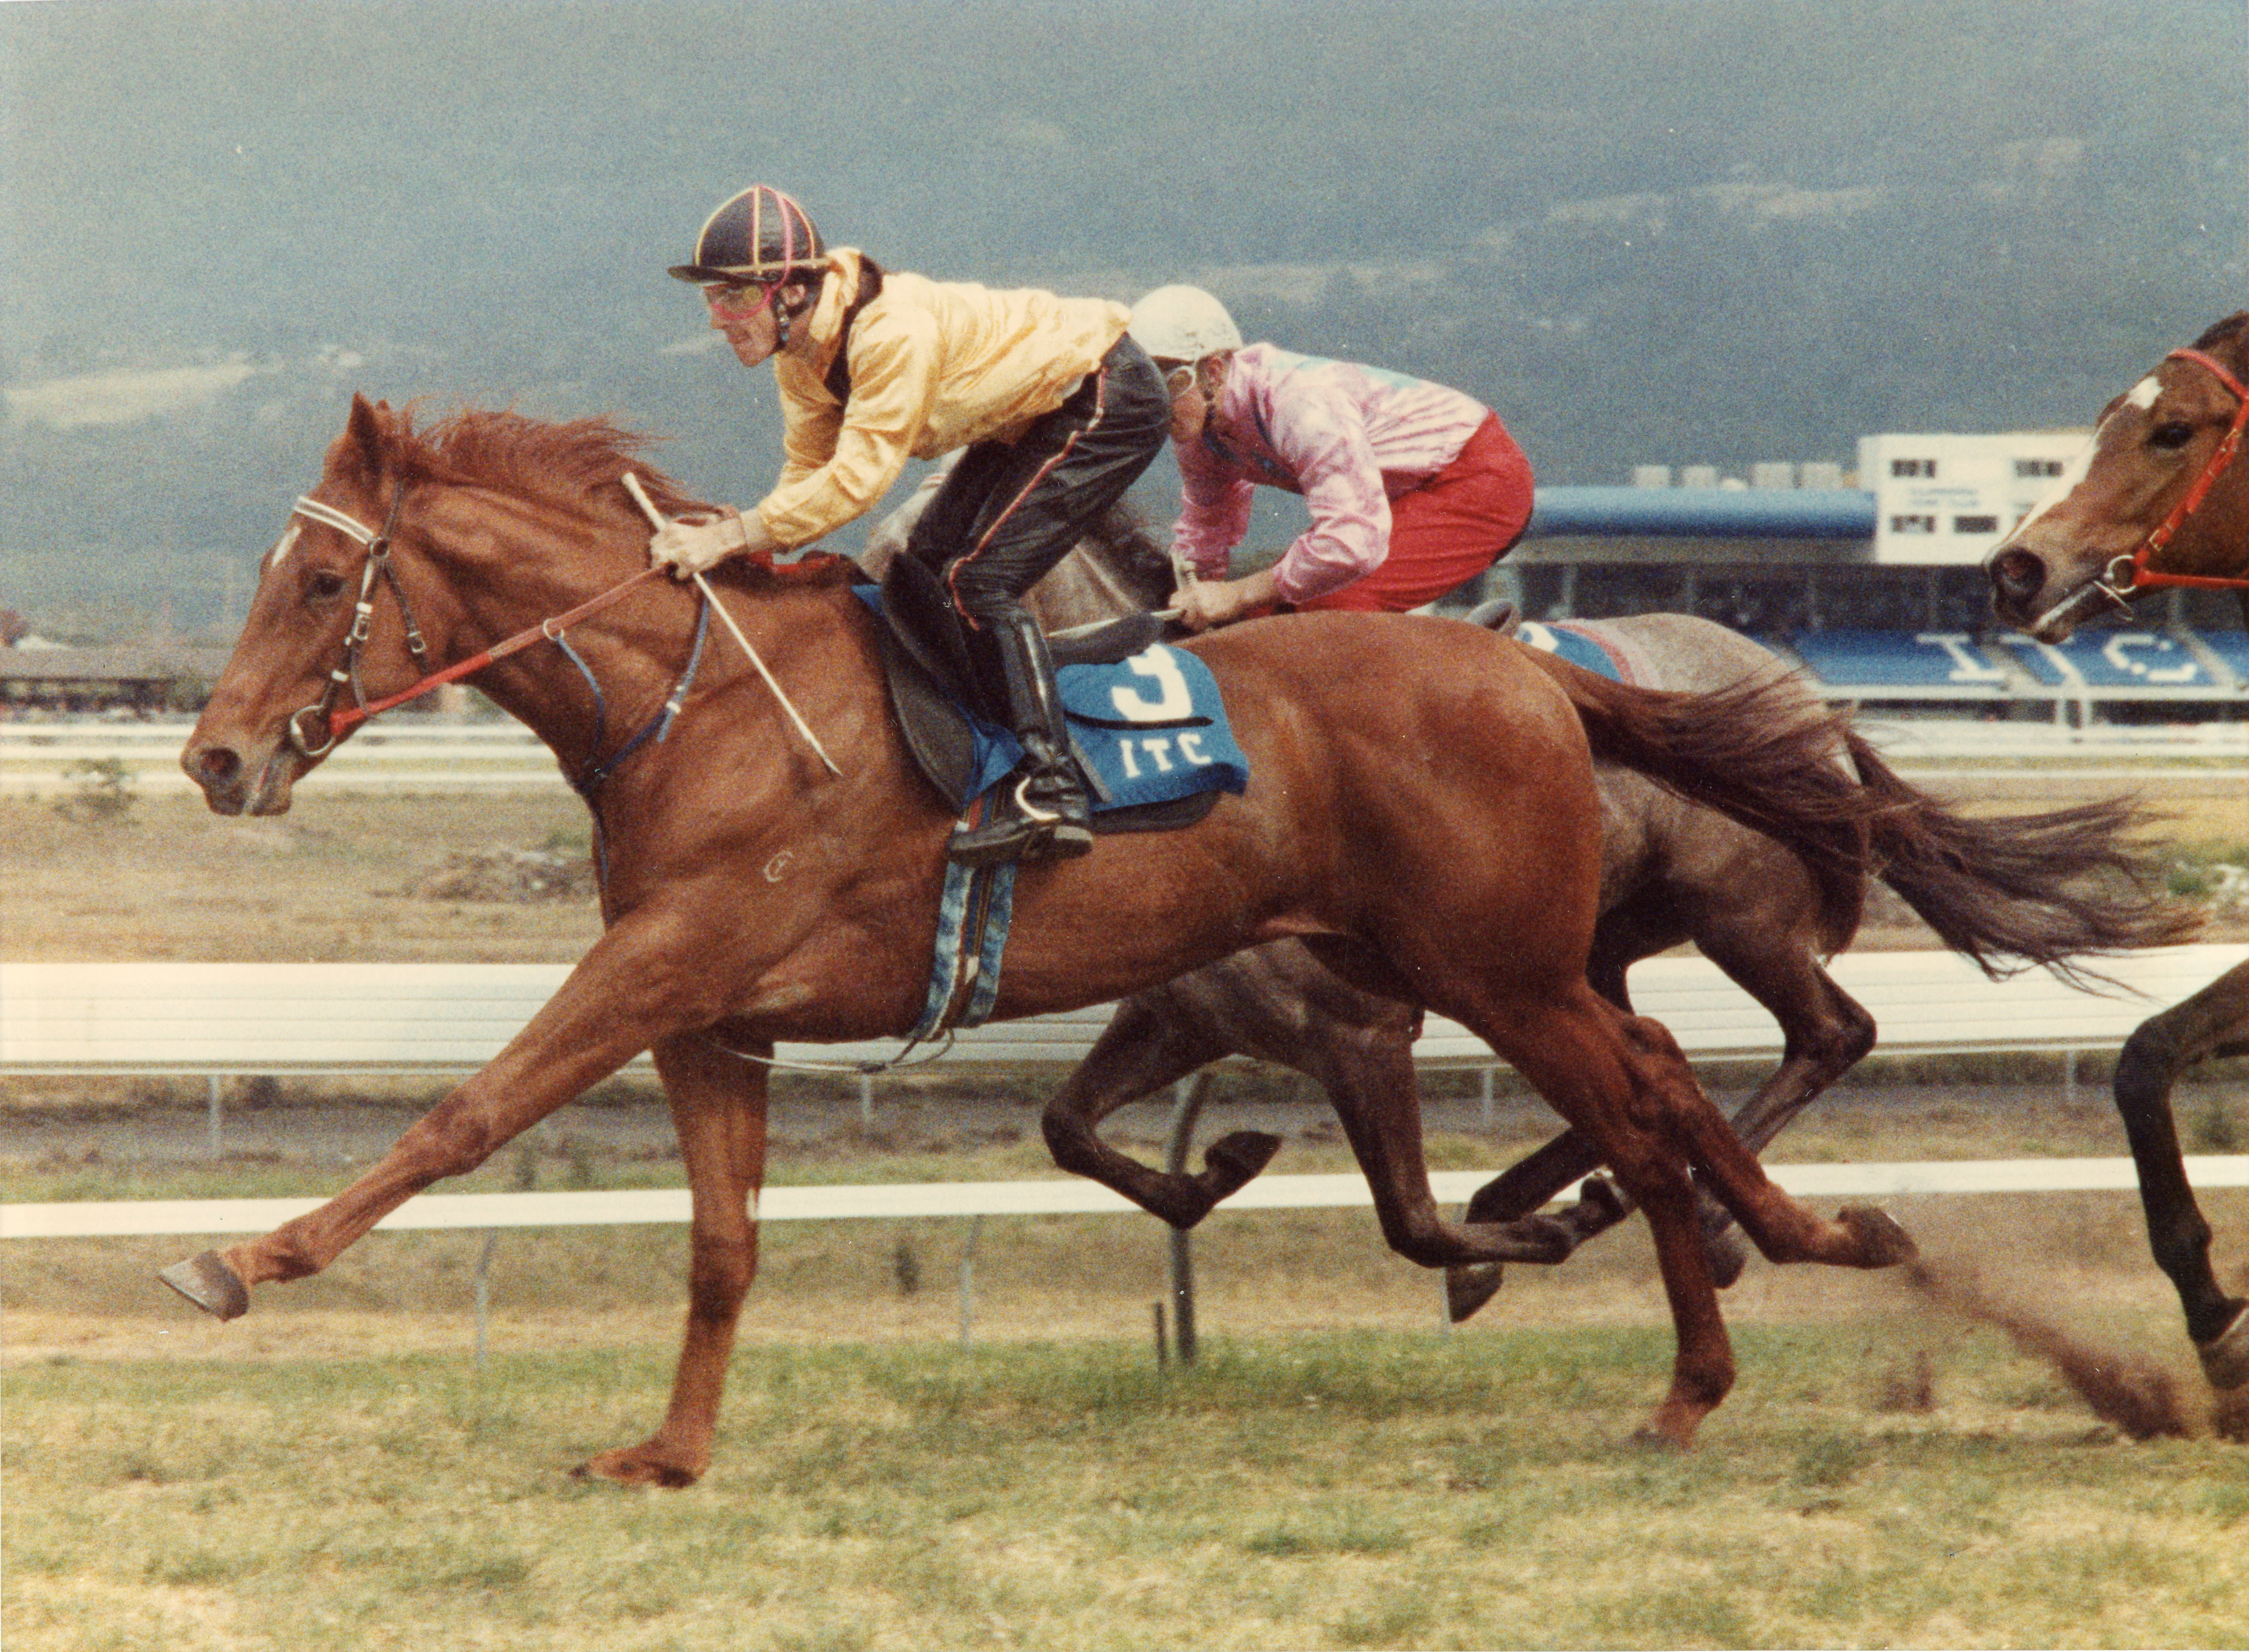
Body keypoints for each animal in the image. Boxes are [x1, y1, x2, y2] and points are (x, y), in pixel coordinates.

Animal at [166, 393, 1916, 1483]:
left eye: (315, 578)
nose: (214, 760)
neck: (703, 701)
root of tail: (1532, 670)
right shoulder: (714, 1015)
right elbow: (723, 1242)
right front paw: (667, 1450)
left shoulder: (660, 965)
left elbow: (468, 1112)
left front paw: (240, 1257)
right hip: (1498, 966)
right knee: (1664, 1078)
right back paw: (1809, 1237)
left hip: (1494, 965)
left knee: (1648, 1099)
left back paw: (1685, 1376)